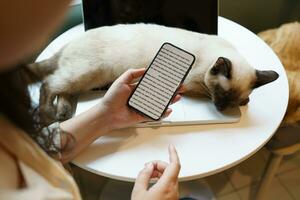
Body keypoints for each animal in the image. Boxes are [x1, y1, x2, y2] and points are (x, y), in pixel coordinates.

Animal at [28, 23, 278, 123]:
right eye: (220, 94)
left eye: (231, 100)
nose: (221, 108)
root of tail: (73, 40)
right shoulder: (194, 85)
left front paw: (245, 102)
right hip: (87, 72)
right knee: (49, 84)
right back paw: (47, 115)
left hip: (87, 78)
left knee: (65, 90)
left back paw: (63, 112)